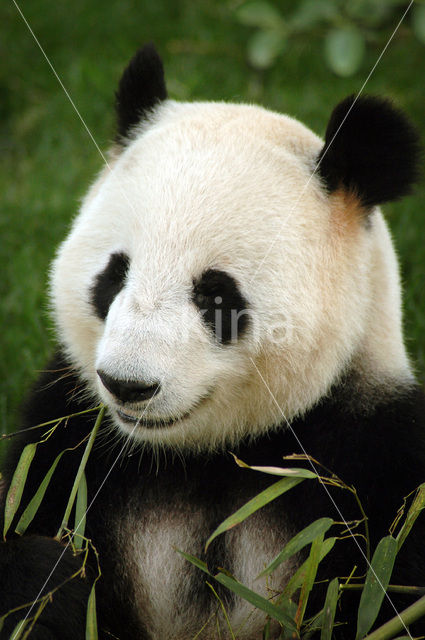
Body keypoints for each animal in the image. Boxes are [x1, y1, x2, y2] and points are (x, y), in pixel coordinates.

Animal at [0, 45, 424, 640]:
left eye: (215, 294)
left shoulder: (374, 461)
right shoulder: (66, 438)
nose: (128, 385)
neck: (204, 454)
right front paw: (50, 581)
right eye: (114, 274)